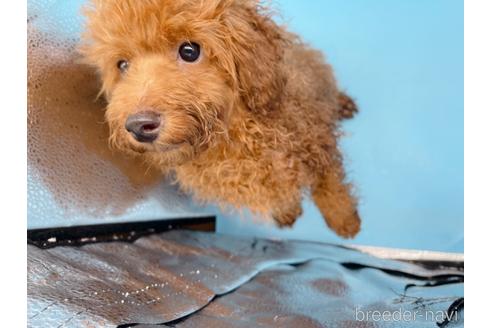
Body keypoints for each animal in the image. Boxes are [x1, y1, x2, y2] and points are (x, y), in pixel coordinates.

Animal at [79, 0, 360, 237]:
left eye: (190, 51)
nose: (138, 125)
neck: (235, 138)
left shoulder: (315, 142)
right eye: (123, 65)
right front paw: (287, 212)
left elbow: (331, 187)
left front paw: (345, 222)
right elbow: (280, 196)